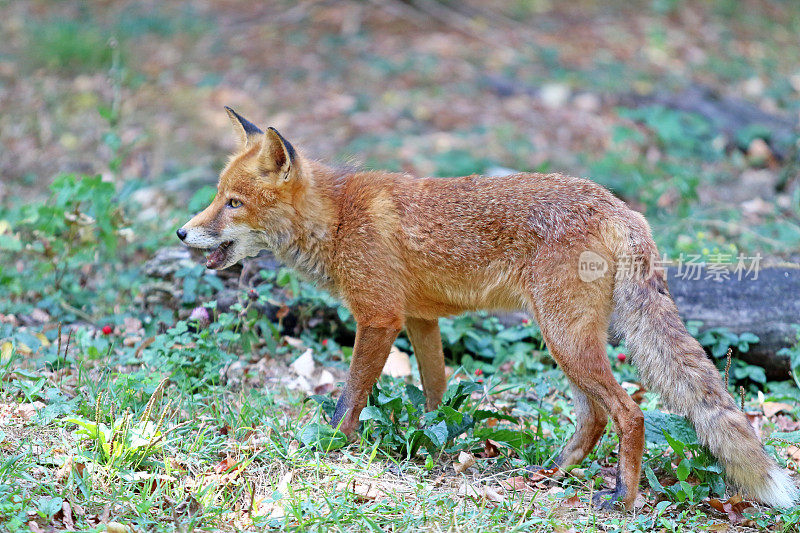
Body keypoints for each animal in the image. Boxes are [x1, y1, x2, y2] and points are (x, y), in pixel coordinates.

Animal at [178, 107, 796, 508]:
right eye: (217, 196)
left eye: (233, 203)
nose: (182, 232)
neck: (337, 219)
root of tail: (624, 209)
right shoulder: (420, 320)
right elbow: (434, 394)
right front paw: (430, 448)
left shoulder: (378, 317)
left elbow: (349, 396)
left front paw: (334, 447)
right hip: (565, 341)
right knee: (595, 415)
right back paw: (550, 474)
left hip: (564, 339)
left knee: (630, 412)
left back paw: (622, 499)